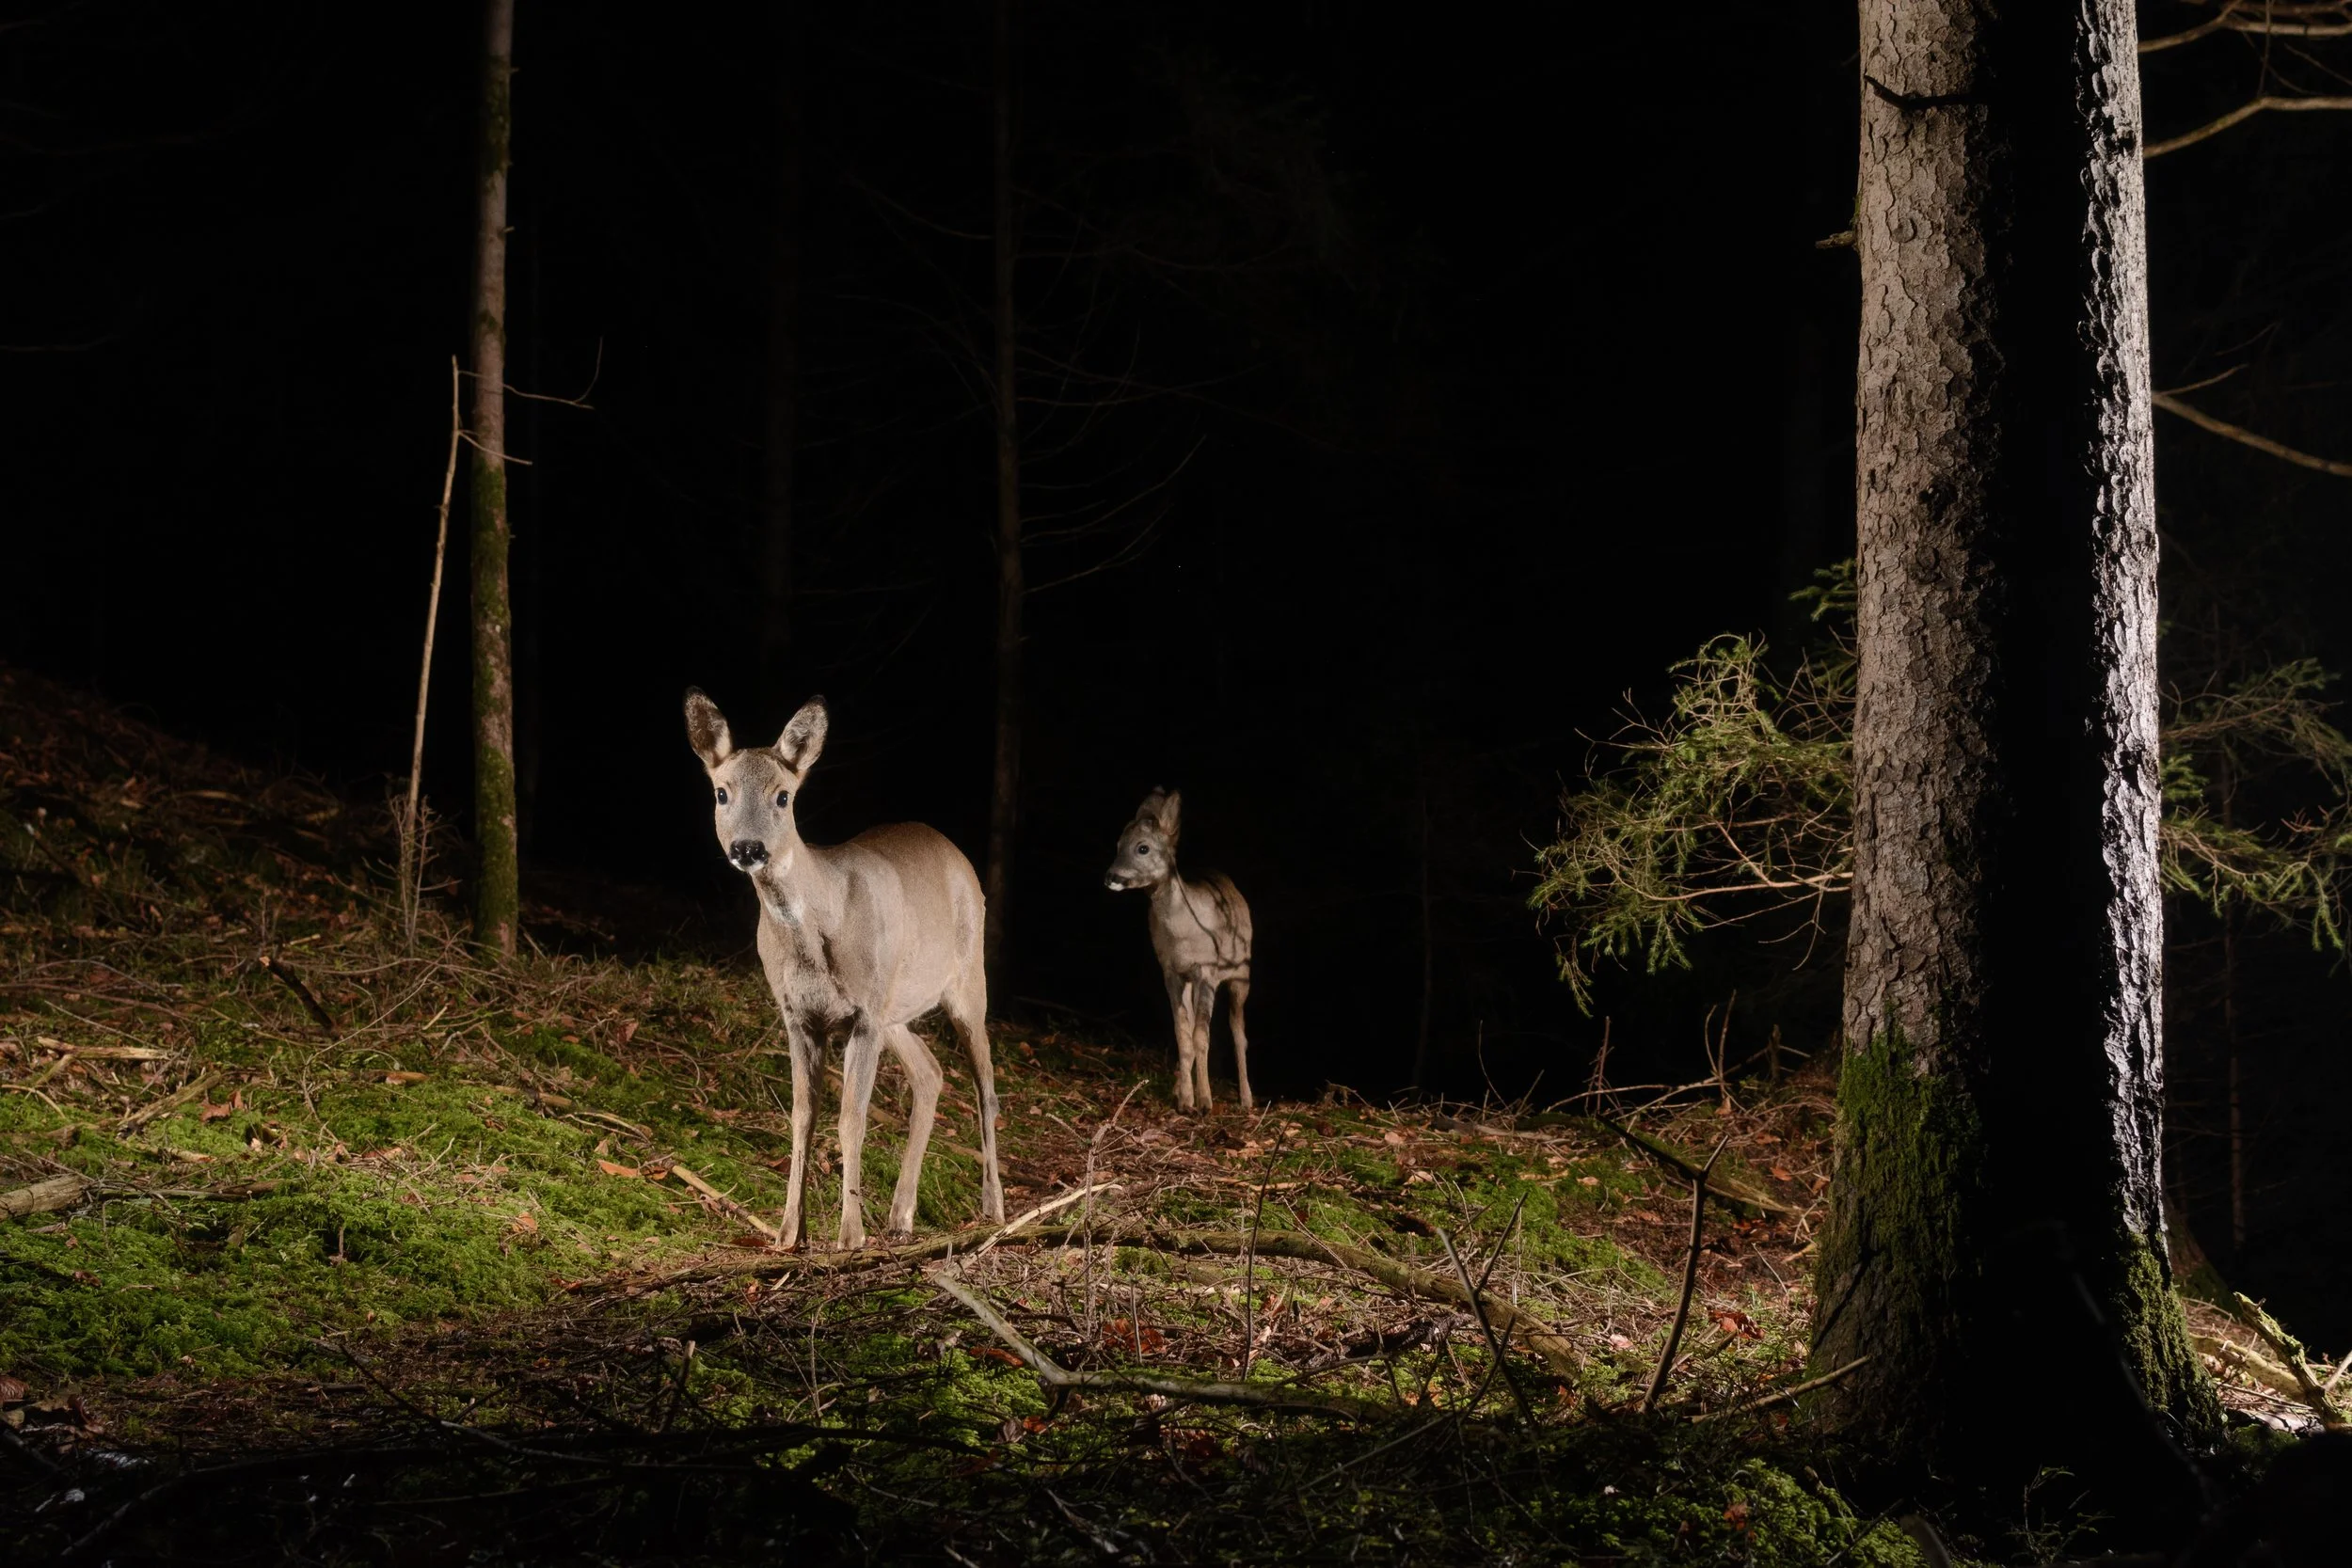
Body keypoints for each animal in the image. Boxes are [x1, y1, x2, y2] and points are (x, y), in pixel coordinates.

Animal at [684, 689, 1004, 1249]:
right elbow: (801, 1117)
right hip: (895, 1005)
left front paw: (849, 1236)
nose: (748, 848)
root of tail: (955, 854)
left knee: (987, 1089)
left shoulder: (864, 1016)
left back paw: (995, 1210)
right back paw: (901, 1216)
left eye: (783, 796)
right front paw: (788, 1234)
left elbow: (851, 1119)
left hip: (966, 980)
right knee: (930, 1073)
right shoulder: (798, 1016)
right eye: (721, 793)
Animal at [1103, 788, 1255, 1113]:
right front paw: (1186, 1101)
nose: (1111, 877)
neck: (1182, 934)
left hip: (1242, 974)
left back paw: (1247, 1099)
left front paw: (1206, 1102)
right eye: (1118, 844)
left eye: (1143, 848)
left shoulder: (1206, 969)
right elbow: (1183, 1033)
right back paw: (1179, 1090)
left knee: (1239, 1033)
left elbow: (1202, 1035)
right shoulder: (1171, 971)